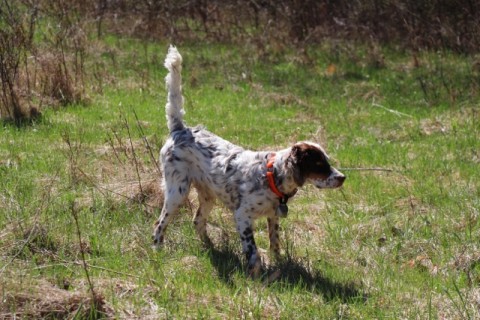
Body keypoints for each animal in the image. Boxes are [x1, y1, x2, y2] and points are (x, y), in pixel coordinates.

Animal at [154, 46, 344, 276]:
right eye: (319, 165)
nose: (342, 177)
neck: (272, 175)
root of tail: (181, 130)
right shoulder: (242, 216)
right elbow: (252, 250)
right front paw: (256, 273)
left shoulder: (273, 215)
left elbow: (274, 243)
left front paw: (277, 263)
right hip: (177, 191)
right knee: (159, 224)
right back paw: (157, 250)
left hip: (208, 195)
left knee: (198, 221)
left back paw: (212, 249)